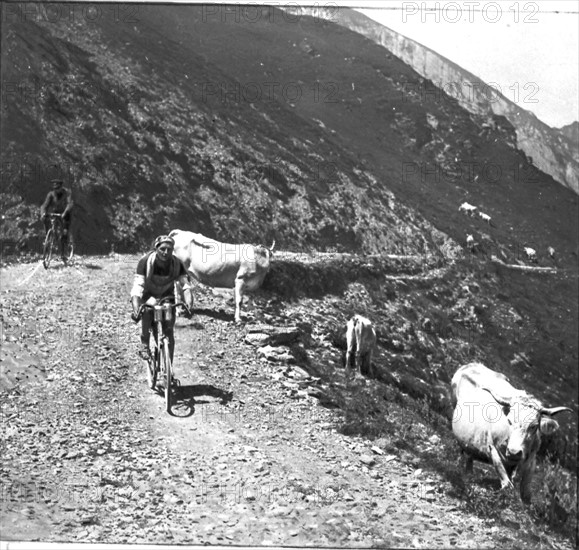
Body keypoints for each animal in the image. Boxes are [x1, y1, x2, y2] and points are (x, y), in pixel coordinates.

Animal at [454, 364, 572, 506]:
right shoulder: (492, 449)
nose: (514, 452)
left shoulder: (531, 459)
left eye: (533, 426)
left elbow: (526, 491)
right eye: (509, 421)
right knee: (465, 455)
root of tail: (473, 365)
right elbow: (506, 482)